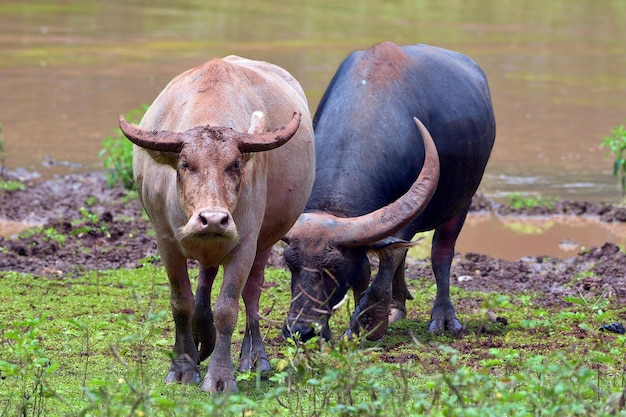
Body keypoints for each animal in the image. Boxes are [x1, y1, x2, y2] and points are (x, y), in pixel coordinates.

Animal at [117, 56, 314, 394]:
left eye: (235, 164)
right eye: (185, 164)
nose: (213, 219)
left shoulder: (245, 244)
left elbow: (228, 309)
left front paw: (220, 377)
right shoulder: (166, 242)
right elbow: (180, 302)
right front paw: (183, 367)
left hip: (264, 242)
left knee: (251, 294)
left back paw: (254, 358)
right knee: (205, 279)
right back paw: (202, 338)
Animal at [282, 42, 492, 342]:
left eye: (334, 267)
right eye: (290, 264)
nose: (300, 330)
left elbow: (391, 258)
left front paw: (367, 322)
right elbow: (371, 265)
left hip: (461, 203)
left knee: (441, 253)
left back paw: (443, 317)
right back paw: (398, 304)